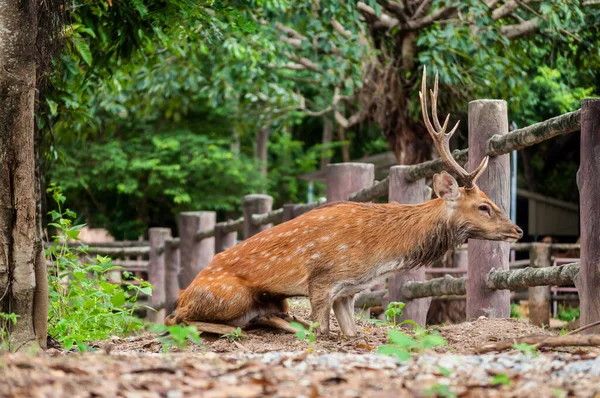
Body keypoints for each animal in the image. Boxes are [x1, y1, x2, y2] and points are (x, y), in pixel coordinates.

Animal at [166, 67, 524, 338]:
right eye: (483, 206)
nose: (518, 230)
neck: (378, 257)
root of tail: (183, 292)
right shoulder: (321, 281)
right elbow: (322, 329)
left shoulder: (348, 292)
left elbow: (352, 332)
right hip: (230, 294)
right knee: (177, 319)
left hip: (273, 300)